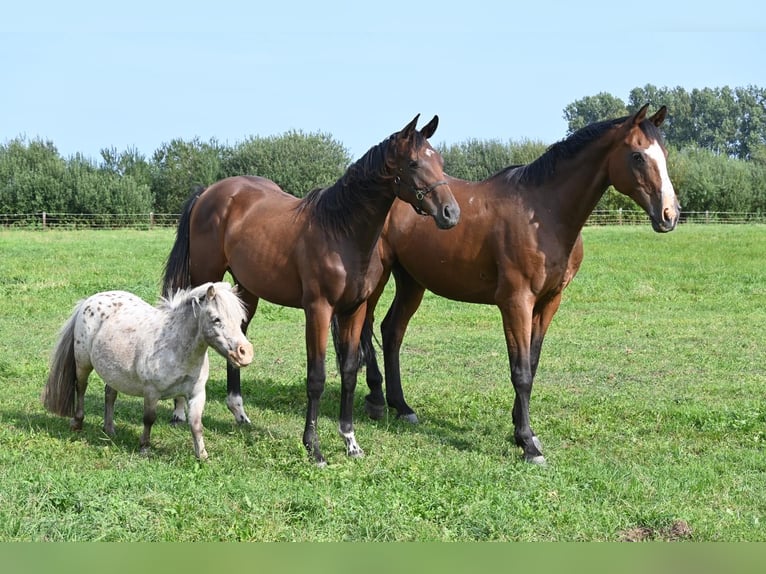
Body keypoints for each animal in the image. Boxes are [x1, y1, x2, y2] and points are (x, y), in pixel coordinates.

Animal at [42, 282, 254, 462]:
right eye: (216, 319)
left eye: (240, 319)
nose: (245, 353)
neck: (175, 345)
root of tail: (88, 301)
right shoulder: (151, 392)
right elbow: (149, 419)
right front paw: (144, 447)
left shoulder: (197, 393)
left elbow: (196, 424)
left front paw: (202, 455)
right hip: (83, 364)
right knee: (81, 388)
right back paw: (77, 423)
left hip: (113, 373)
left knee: (109, 395)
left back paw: (109, 429)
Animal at [163, 113, 462, 468]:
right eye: (414, 163)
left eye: (440, 162)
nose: (451, 213)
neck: (341, 233)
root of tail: (208, 192)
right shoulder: (318, 310)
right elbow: (316, 377)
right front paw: (314, 448)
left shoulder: (355, 310)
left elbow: (349, 371)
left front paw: (351, 441)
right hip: (204, 276)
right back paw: (180, 411)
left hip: (246, 289)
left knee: (238, 338)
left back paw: (239, 413)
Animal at [356, 103, 680, 466]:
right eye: (638, 156)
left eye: (665, 154)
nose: (670, 215)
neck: (543, 214)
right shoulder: (516, 302)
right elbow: (520, 372)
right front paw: (528, 444)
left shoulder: (549, 302)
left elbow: (532, 365)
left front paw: (522, 431)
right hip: (379, 277)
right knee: (367, 329)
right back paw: (376, 400)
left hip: (412, 281)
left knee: (392, 331)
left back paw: (402, 406)